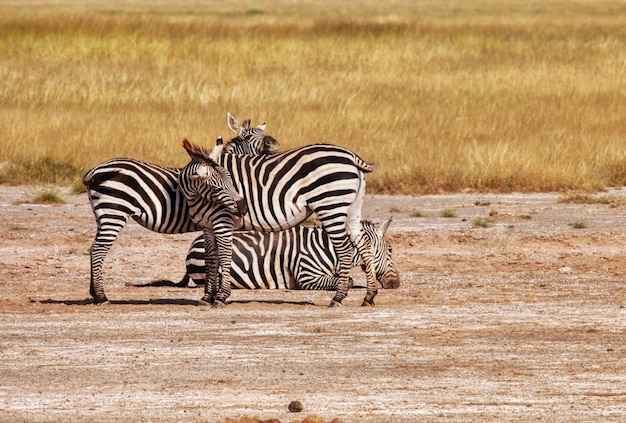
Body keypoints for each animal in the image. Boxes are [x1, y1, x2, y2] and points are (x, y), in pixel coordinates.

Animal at [82, 113, 278, 304]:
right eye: (248, 137)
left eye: (264, 134)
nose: (274, 144)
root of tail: (95, 170)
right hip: (114, 212)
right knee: (99, 249)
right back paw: (101, 296)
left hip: (102, 213)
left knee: (93, 248)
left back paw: (94, 294)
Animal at [167, 219, 400, 292]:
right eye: (390, 250)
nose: (396, 283)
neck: (329, 249)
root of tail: (193, 243)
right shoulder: (306, 276)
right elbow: (349, 281)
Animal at [178, 138, 378, 308]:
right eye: (215, 186)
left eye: (231, 181)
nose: (242, 207)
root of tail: (350, 155)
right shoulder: (207, 225)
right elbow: (211, 259)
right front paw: (207, 297)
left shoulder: (222, 220)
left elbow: (225, 256)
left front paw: (220, 297)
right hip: (352, 209)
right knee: (364, 245)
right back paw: (369, 296)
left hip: (330, 205)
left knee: (345, 250)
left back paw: (338, 297)